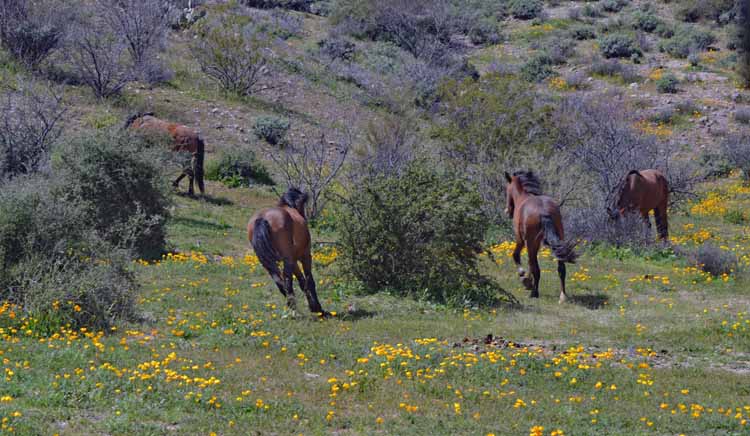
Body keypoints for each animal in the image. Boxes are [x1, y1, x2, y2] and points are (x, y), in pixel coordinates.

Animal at [248, 187, 330, 316]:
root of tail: (262, 218)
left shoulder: (294, 261)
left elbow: (302, 282)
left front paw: (313, 307)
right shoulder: (305, 256)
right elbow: (309, 281)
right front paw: (318, 308)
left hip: (268, 263)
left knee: (280, 283)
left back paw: (291, 307)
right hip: (288, 260)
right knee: (287, 282)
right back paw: (294, 310)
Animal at [506, 171, 580, 304]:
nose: (508, 211)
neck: (522, 197)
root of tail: (544, 212)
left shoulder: (521, 240)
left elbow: (517, 256)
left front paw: (524, 278)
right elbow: (530, 263)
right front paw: (528, 280)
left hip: (530, 242)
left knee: (536, 268)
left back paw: (534, 293)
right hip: (558, 239)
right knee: (561, 268)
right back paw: (563, 296)